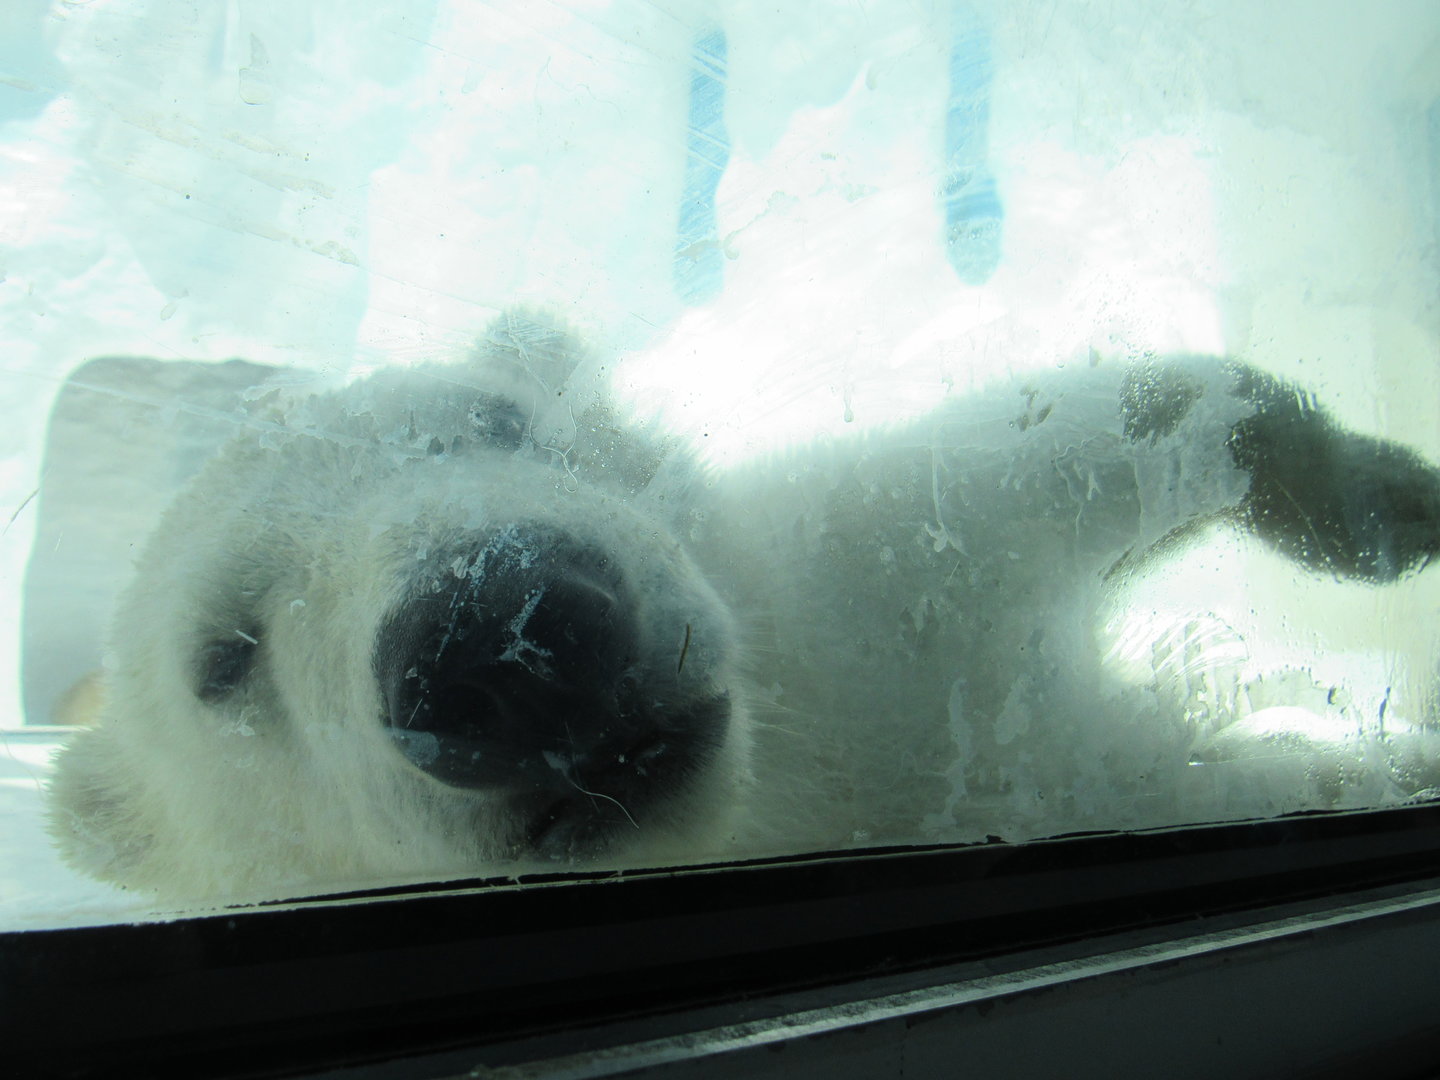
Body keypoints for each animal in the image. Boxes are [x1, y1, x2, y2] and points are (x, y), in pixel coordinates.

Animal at [45, 313, 1440, 902]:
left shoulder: (865, 593)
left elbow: (1078, 441)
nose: (499, 639)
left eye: (491, 419)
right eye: (225, 656)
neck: (802, 796)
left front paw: (1387, 499)